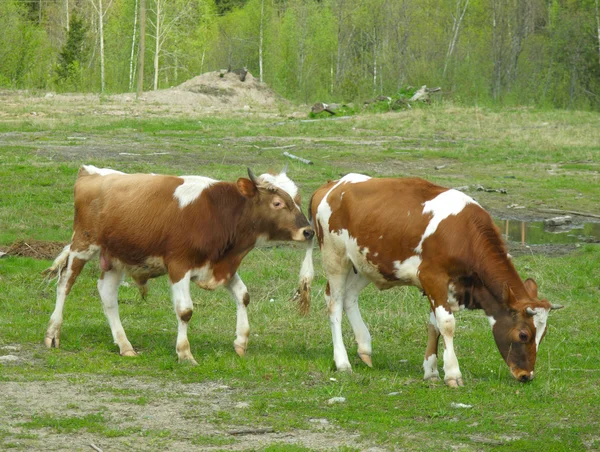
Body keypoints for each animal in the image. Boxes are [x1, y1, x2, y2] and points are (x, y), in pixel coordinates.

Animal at [44, 165, 314, 364]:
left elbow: (243, 296)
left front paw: (240, 342)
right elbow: (185, 311)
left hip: (116, 258)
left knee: (107, 294)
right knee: (65, 283)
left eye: (298, 200)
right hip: (83, 244)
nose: (309, 231)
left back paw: (125, 345)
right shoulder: (178, 265)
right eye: (277, 203)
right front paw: (185, 353)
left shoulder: (221, 266)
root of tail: (90, 172)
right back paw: (53, 333)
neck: (219, 212)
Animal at [298, 175, 560, 386]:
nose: (526, 375)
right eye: (523, 335)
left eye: (543, 335)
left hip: (365, 264)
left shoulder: (443, 287)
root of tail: (332, 185)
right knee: (334, 303)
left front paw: (431, 372)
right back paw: (342, 362)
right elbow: (447, 324)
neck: (465, 235)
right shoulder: (433, 278)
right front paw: (452, 374)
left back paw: (365, 349)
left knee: (350, 298)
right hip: (335, 257)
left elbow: (434, 325)